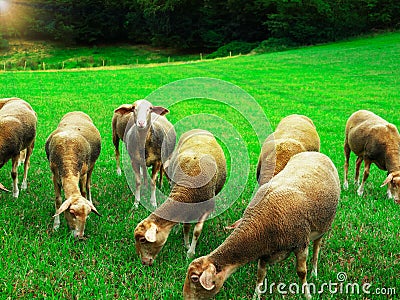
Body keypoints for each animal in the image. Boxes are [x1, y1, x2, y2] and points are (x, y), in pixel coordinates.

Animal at [134, 130, 227, 266]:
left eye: (142, 240)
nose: (144, 263)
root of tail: (198, 129)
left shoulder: (206, 208)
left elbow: (197, 231)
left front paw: (190, 253)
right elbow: (186, 227)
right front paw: (186, 244)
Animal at [183, 152, 340, 300]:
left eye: (194, 278)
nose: (184, 298)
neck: (259, 224)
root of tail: (316, 153)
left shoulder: (301, 244)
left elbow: (301, 273)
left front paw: (307, 295)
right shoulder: (265, 252)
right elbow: (260, 275)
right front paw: (256, 296)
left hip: (324, 226)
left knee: (317, 249)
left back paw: (314, 272)